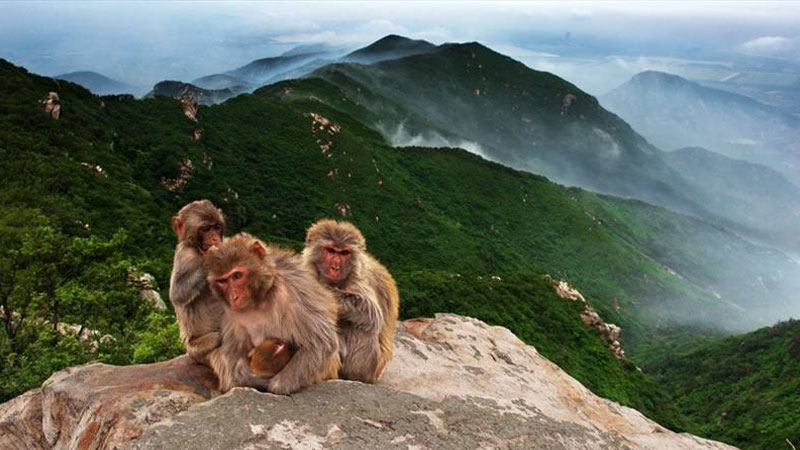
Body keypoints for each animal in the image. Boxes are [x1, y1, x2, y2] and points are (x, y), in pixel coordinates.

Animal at [168, 200, 225, 366]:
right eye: (206, 229)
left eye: (216, 227)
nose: (215, 238)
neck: (199, 250)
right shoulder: (184, 255)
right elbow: (177, 294)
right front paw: (212, 258)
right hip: (195, 350)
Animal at [203, 232, 340, 394]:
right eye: (222, 281)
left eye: (236, 276)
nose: (233, 297)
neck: (260, 299)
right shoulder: (231, 312)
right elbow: (233, 355)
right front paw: (253, 379)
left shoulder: (294, 290)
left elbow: (321, 343)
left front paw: (276, 386)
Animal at [300, 220, 400, 382]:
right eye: (331, 250)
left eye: (344, 253)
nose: (336, 266)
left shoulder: (358, 277)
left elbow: (372, 312)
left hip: (372, 367)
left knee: (363, 326)